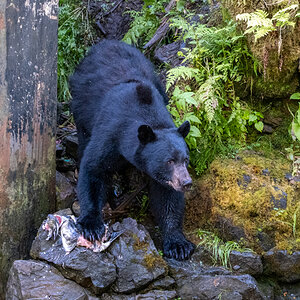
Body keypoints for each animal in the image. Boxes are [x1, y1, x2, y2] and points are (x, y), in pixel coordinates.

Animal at [69, 39, 195, 260]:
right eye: (169, 160)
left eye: (185, 159)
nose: (186, 182)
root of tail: (106, 42)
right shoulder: (111, 132)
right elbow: (94, 167)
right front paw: (92, 225)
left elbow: (167, 196)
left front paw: (178, 244)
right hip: (81, 106)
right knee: (83, 141)